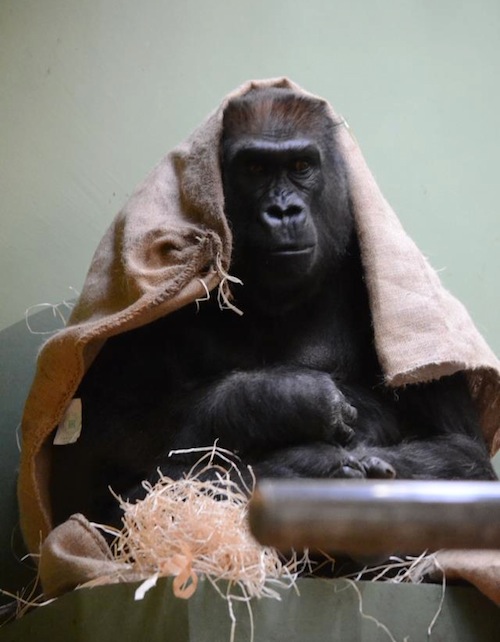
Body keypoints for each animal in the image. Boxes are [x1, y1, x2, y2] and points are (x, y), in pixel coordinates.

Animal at [49, 89, 496, 528]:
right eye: (255, 168)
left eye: (301, 166)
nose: (283, 211)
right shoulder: (145, 294)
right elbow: (101, 440)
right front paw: (285, 404)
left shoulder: (422, 321)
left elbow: (459, 451)